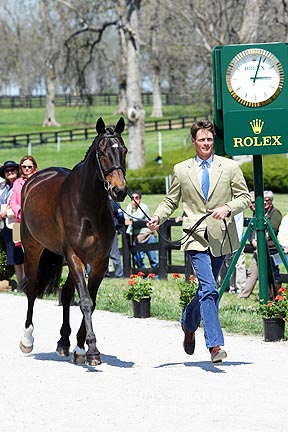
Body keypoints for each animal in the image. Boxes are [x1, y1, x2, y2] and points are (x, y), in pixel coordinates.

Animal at [19, 117, 127, 364]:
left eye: (124, 151)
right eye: (102, 152)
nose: (119, 190)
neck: (88, 206)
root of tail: (33, 180)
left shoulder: (99, 262)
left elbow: (90, 301)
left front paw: (81, 348)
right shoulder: (74, 255)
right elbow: (85, 301)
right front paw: (93, 350)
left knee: (66, 293)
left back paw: (64, 342)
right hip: (33, 248)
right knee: (32, 290)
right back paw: (27, 339)